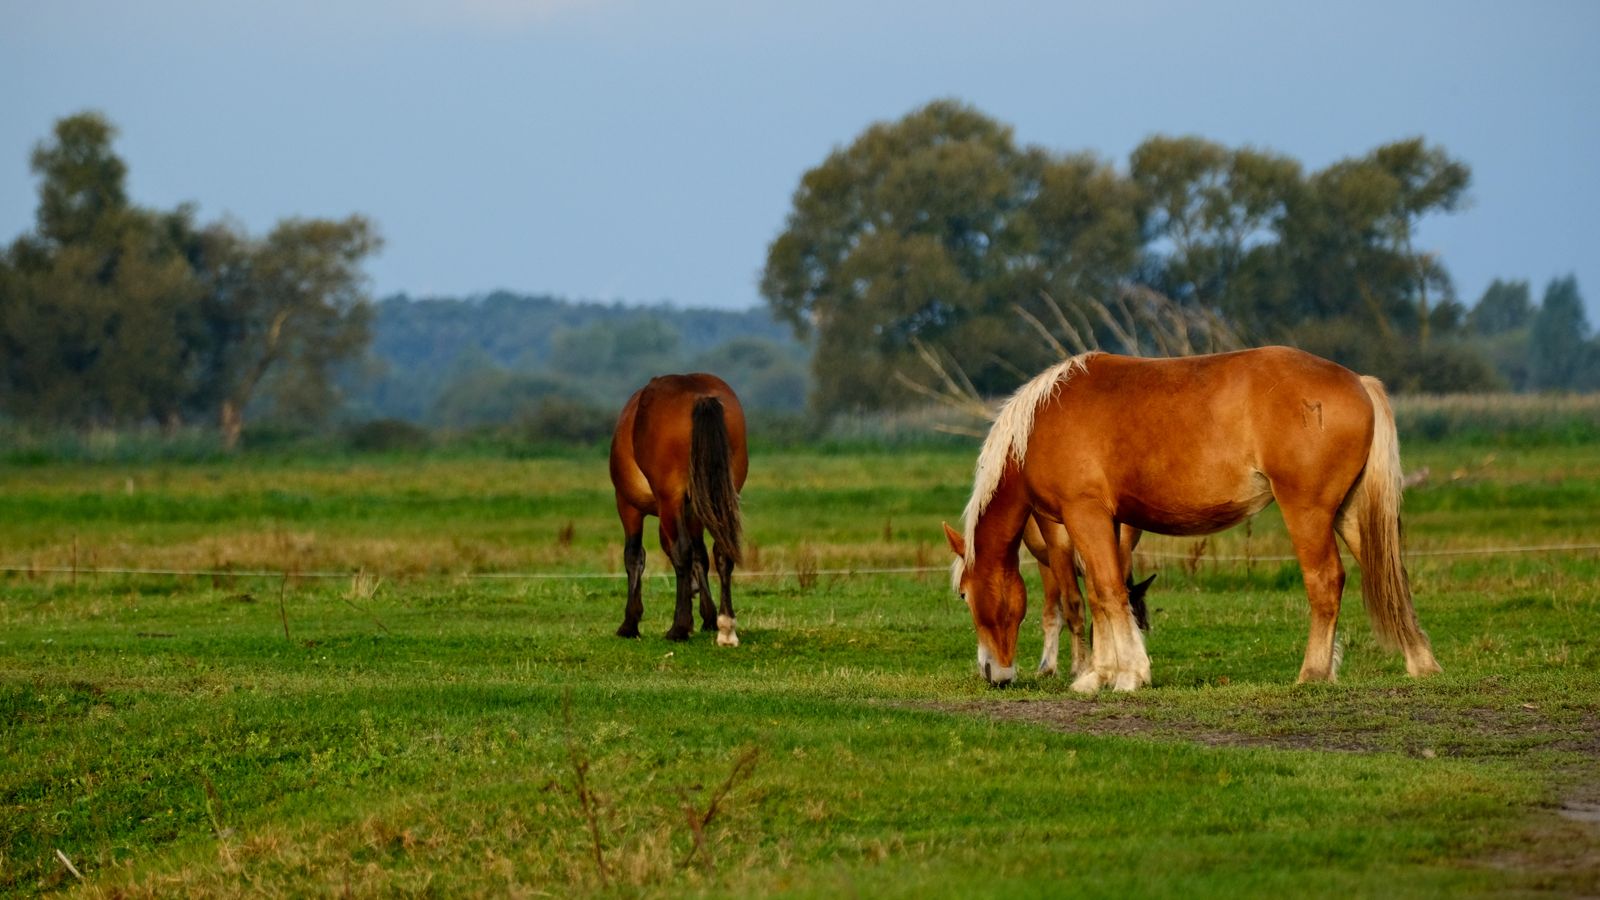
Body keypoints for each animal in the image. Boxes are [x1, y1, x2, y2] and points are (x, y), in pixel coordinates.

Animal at [609, 373, 747, 645]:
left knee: (681, 550)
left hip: (668, 500)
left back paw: (678, 628)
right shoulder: (694, 511)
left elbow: (634, 556)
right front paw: (708, 616)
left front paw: (630, 623)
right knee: (722, 552)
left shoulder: (628, 506)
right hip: (722, 494)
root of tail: (700, 396)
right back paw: (726, 627)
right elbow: (700, 556)